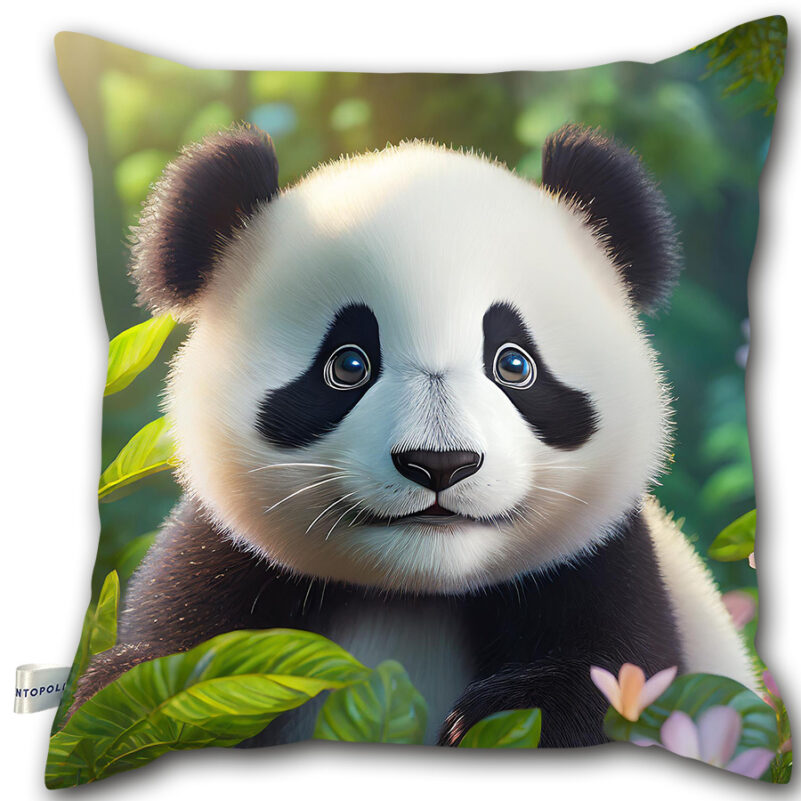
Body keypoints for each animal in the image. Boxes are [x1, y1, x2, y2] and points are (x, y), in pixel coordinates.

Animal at [73, 123, 756, 748]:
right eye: (348, 365)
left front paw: (493, 717)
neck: (416, 590)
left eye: (514, 363)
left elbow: (601, 684)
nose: (439, 464)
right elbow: (143, 681)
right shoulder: (220, 571)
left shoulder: (602, 570)